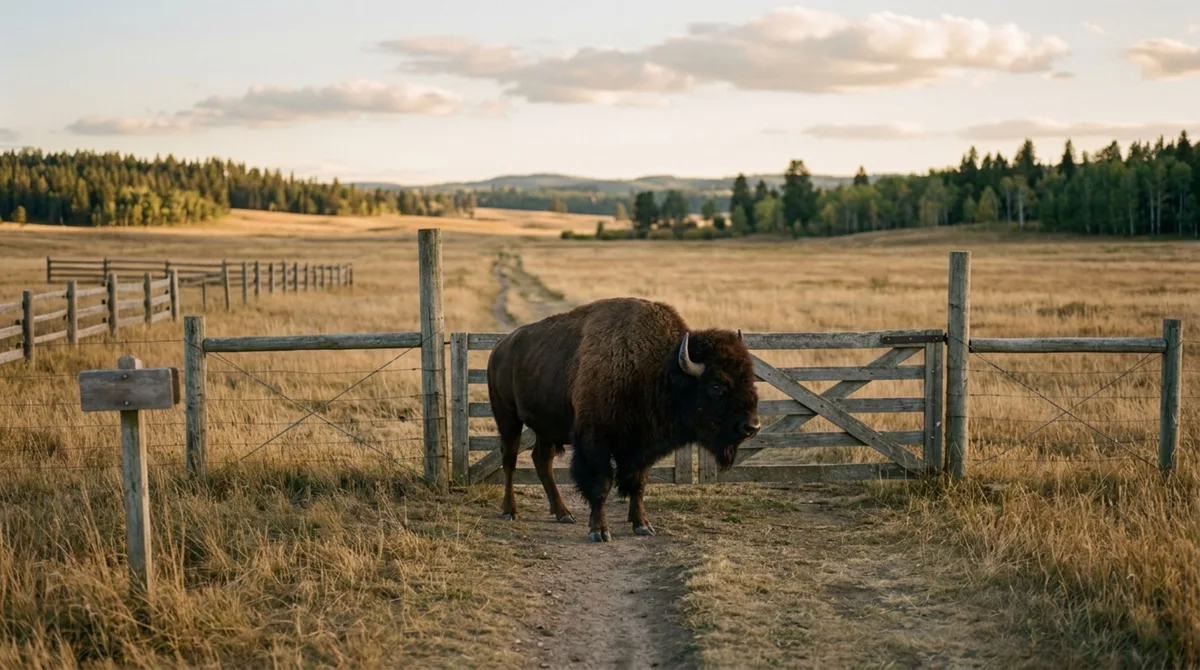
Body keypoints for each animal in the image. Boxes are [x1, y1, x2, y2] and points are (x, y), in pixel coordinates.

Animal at [486, 297, 761, 542]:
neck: (657, 370)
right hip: (508, 419)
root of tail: (499, 348)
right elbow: (601, 485)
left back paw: (563, 513)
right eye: (716, 384)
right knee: (509, 461)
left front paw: (642, 525)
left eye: (749, 379)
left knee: (542, 462)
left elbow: (638, 484)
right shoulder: (595, 443)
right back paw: (510, 511)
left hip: (546, 428)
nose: (752, 426)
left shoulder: (641, 447)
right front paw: (599, 531)